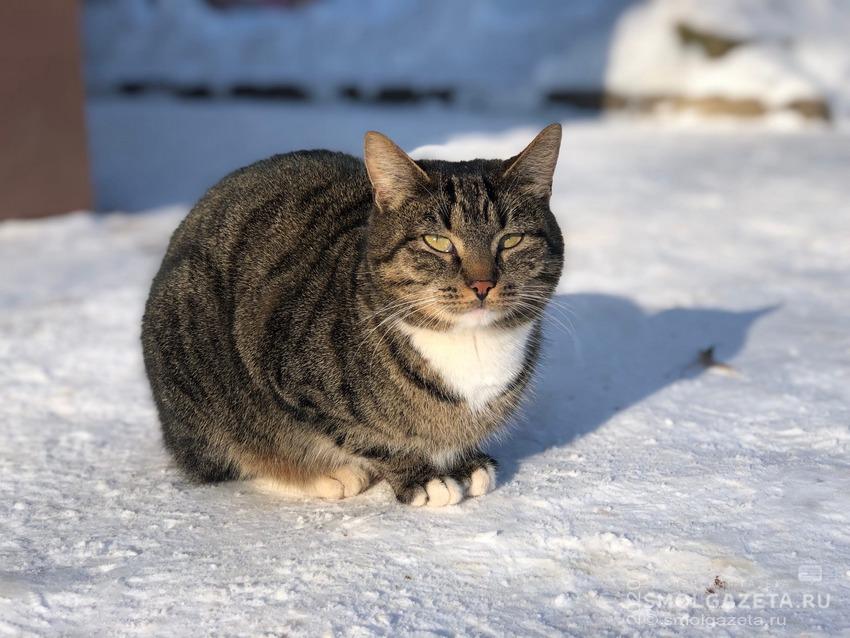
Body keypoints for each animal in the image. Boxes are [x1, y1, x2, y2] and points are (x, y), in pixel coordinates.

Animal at [140, 122, 564, 508]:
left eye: (511, 240)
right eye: (438, 242)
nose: (482, 284)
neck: (470, 348)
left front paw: (463, 462)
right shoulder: (290, 379)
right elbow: (367, 438)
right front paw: (423, 477)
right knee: (235, 453)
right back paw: (324, 475)